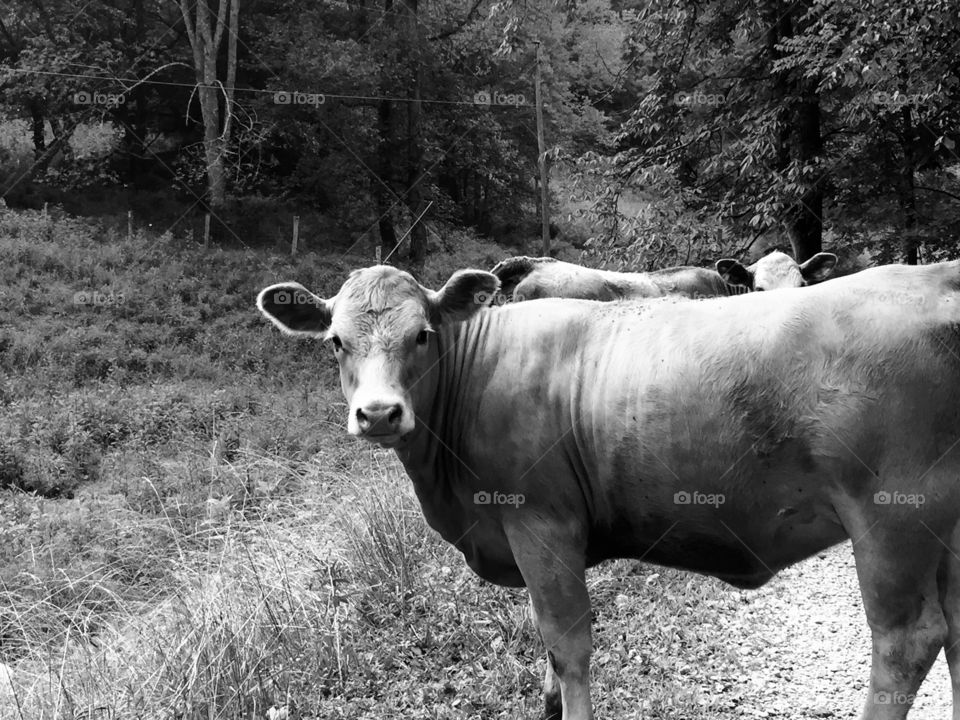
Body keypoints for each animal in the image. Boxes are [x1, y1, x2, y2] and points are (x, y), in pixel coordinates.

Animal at [258, 261, 960, 720]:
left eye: (422, 335)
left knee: (908, 641)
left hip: (891, 519)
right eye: (335, 341)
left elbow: (567, 646)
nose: (379, 414)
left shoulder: (540, 524)